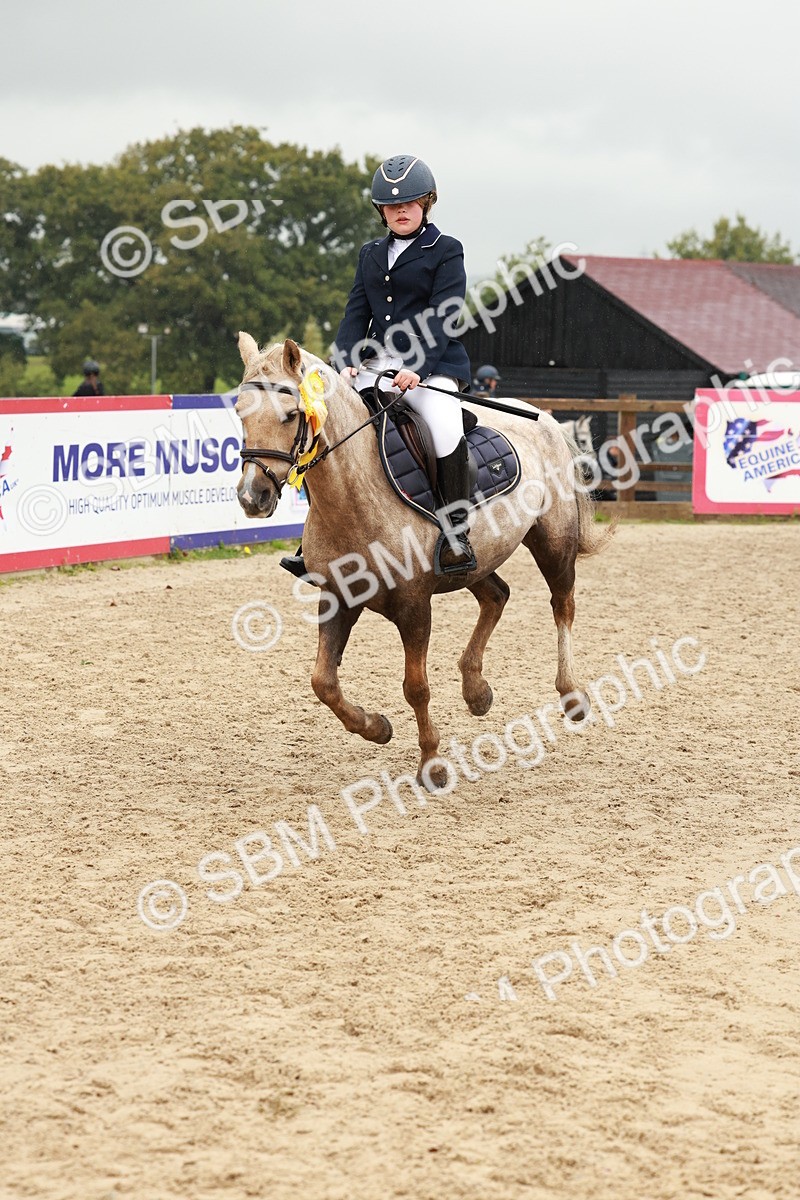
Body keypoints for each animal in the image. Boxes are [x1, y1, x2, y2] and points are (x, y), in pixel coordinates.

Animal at [235, 333, 613, 790]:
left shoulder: (415, 604)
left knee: (562, 606)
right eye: (239, 412)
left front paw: (431, 763)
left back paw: (571, 694)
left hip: (553, 541)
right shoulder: (338, 597)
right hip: (476, 561)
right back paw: (476, 691)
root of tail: (545, 419)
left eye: (291, 415)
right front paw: (376, 727)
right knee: (497, 596)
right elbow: (323, 682)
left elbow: (415, 687)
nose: (252, 497)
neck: (354, 491)